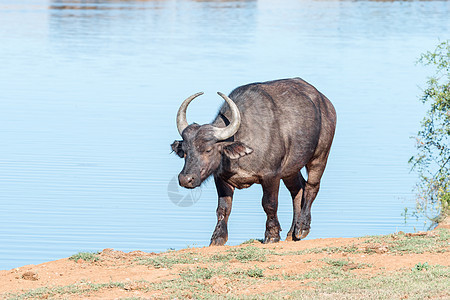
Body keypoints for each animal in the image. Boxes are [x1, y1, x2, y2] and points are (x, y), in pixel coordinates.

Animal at [171, 78, 336, 245]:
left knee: (311, 187)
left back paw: (302, 227)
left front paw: (272, 235)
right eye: (185, 151)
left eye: (208, 150)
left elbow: (269, 204)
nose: (185, 179)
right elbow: (223, 208)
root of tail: (326, 103)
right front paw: (217, 237)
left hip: (320, 155)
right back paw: (292, 233)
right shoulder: (221, 178)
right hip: (291, 169)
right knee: (297, 190)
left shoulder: (271, 176)